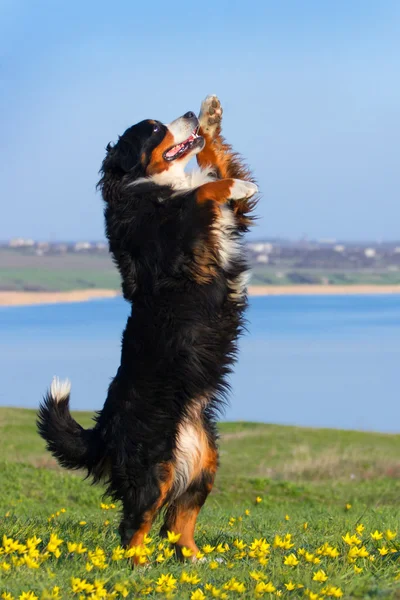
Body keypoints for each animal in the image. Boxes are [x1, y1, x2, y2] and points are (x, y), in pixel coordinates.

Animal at [36, 95, 256, 564]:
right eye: (154, 128)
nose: (189, 114)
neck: (146, 188)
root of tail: (106, 427)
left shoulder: (232, 221)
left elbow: (215, 164)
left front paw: (211, 120)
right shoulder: (180, 243)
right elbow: (202, 191)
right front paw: (234, 186)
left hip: (203, 464)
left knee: (177, 525)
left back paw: (198, 562)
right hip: (153, 468)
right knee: (133, 527)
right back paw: (137, 569)